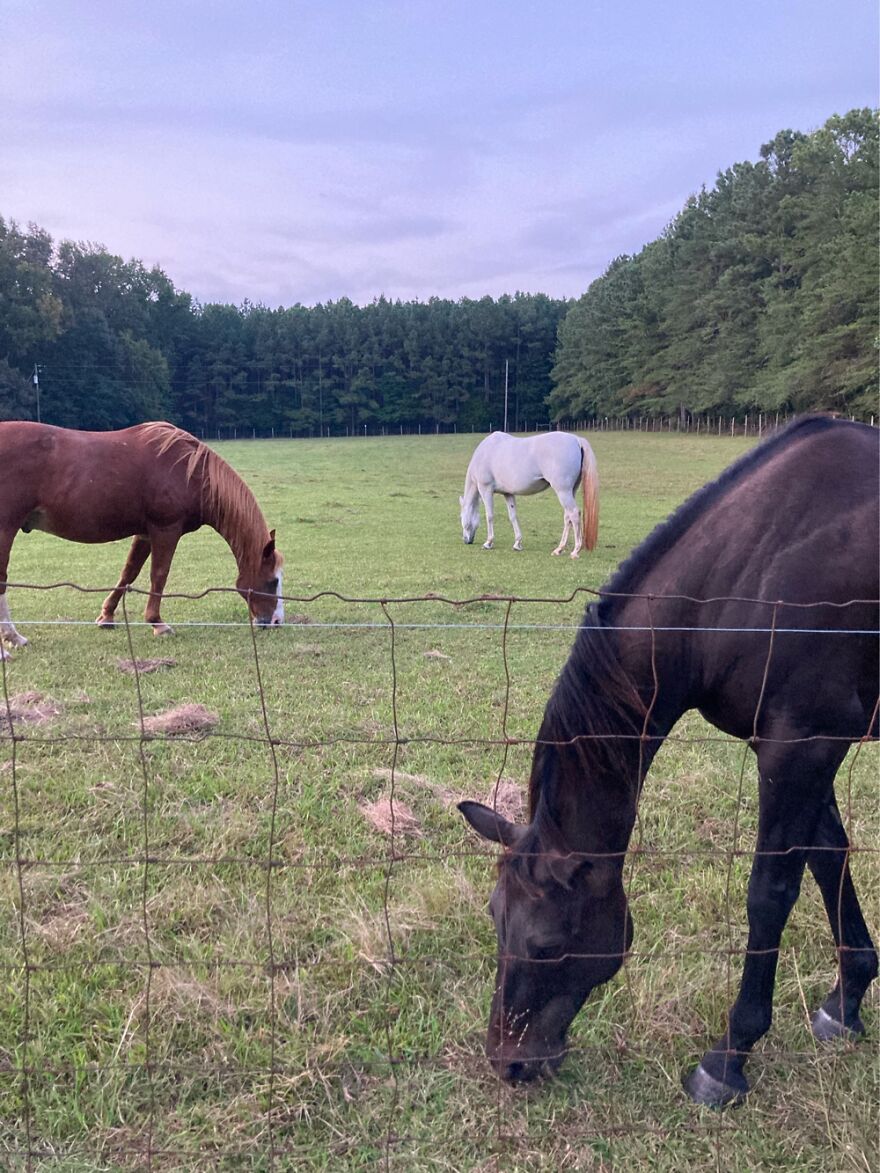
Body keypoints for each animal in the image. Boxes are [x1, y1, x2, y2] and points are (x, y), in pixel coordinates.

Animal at [0, 421, 285, 657]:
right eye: (273, 581)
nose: (276, 622)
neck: (188, 470)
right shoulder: (165, 529)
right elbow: (159, 575)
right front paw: (157, 623)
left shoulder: (145, 533)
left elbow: (129, 573)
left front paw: (107, 616)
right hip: (5, 529)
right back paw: (11, 640)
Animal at [459, 431, 599, 557]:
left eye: (461, 517)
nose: (466, 540)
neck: (485, 453)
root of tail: (577, 440)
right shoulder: (508, 493)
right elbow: (513, 516)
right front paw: (517, 543)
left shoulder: (486, 489)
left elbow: (489, 516)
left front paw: (488, 543)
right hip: (570, 491)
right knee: (567, 516)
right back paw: (559, 549)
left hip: (563, 491)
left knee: (574, 514)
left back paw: (575, 551)